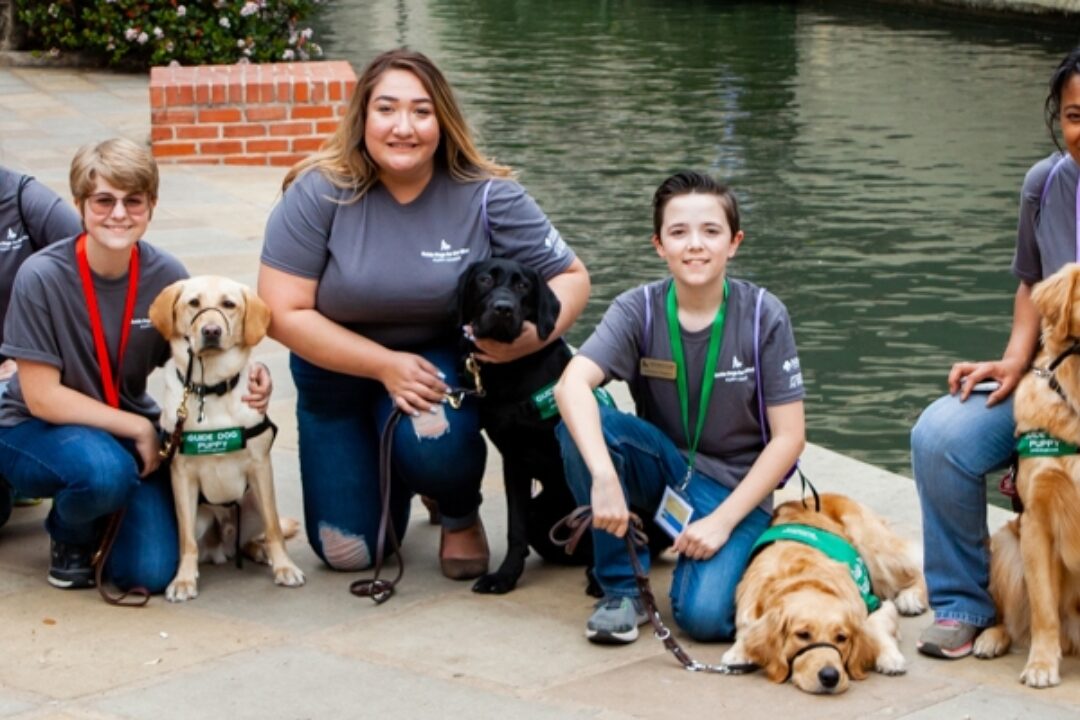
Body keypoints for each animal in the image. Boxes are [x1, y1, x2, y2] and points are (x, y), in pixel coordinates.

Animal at [147, 276, 304, 604]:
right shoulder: (182, 476)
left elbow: (274, 528)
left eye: (229, 304)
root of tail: (222, 547)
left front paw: (284, 567)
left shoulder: (260, 466)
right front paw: (183, 580)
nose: (211, 331)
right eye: (194, 302)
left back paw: (260, 551)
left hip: (252, 503)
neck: (212, 387)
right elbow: (186, 541)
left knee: (259, 533)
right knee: (200, 543)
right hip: (201, 517)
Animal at [453, 260, 596, 595]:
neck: (513, 372)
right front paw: (505, 576)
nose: (503, 309)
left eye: (523, 286)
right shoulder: (514, 459)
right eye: (484, 279)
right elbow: (514, 528)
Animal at [721, 496, 924, 690]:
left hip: (872, 546)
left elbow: (873, 626)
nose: (830, 676)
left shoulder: (875, 603)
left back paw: (912, 597)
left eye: (841, 638)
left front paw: (890, 657)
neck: (804, 580)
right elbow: (747, 629)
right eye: (802, 635)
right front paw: (738, 651)